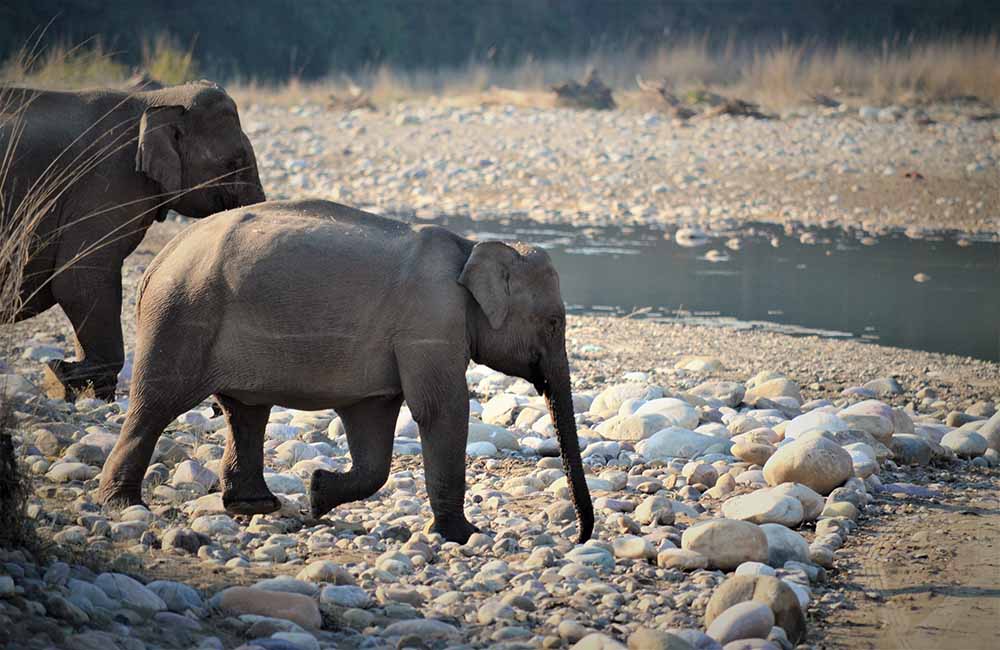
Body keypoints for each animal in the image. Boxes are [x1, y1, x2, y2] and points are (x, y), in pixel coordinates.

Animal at [96, 199, 592, 540]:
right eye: (554, 322)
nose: (579, 537)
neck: (472, 247)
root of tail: (161, 258)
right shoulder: (429, 322)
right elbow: (441, 410)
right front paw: (464, 535)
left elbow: (373, 426)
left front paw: (317, 494)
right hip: (181, 315)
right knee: (155, 405)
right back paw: (123, 506)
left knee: (245, 412)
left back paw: (255, 506)